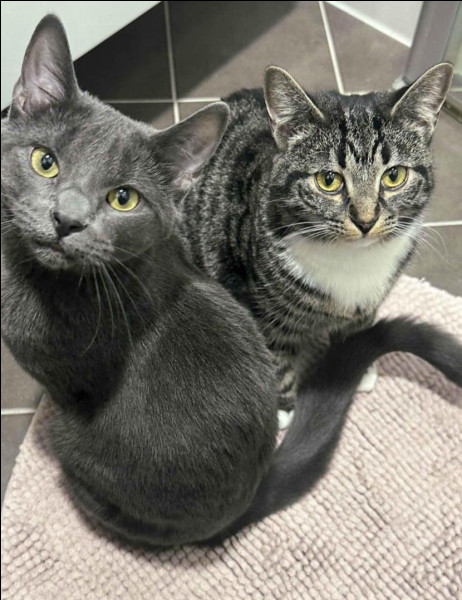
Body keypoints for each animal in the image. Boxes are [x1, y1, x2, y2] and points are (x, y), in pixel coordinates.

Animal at [180, 64, 453, 409]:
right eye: (328, 180)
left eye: (394, 176)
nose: (366, 220)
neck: (353, 258)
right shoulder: (259, 310)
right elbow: (277, 362)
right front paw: (286, 409)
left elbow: (358, 330)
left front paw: (355, 365)